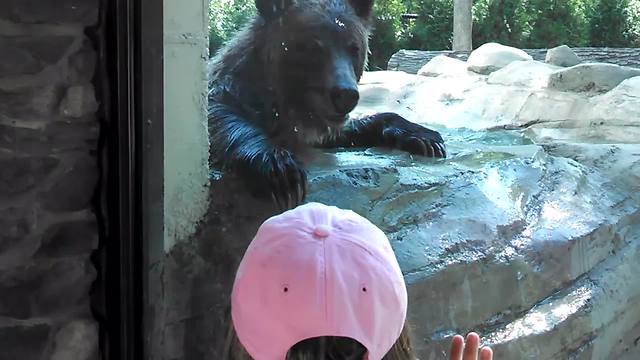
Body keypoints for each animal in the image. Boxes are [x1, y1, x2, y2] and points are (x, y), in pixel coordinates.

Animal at [209, 0, 444, 210]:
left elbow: (346, 130)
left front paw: (426, 137)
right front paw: (282, 172)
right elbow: (224, 117)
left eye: (354, 48)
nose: (345, 94)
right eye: (314, 47)